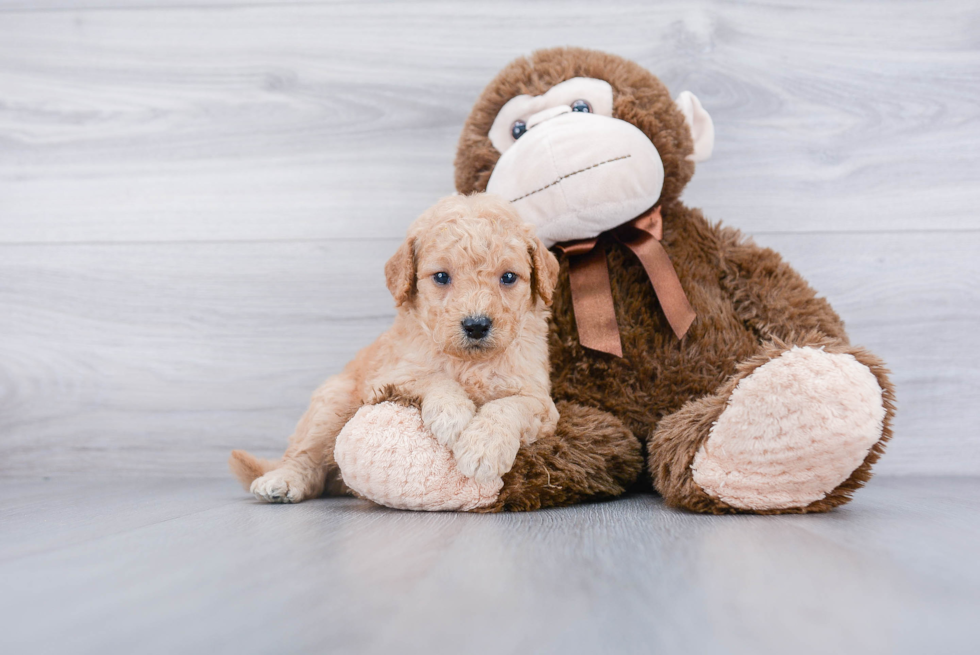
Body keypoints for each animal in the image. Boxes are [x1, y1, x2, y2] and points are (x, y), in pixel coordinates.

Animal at [231, 192, 564, 504]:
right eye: (441, 276)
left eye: (508, 277)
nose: (476, 325)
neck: (469, 363)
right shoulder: (390, 376)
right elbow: (432, 376)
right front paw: (453, 415)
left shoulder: (540, 400)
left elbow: (508, 406)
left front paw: (483, 448)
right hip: (330, 404)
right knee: (306, 458)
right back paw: (282, 481)